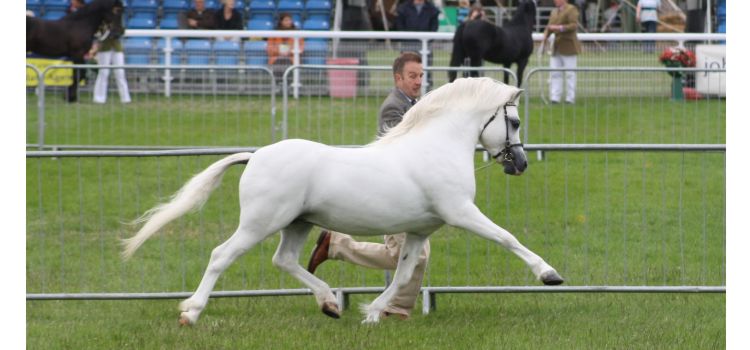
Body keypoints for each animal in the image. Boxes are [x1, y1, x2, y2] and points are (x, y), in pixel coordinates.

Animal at [122, 77, 564, 326]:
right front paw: (550, 275)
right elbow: (507, 238)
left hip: (298, 223)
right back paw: (191, 312)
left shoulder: (420, 231)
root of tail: (255, 155)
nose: (520, 163)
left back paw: (330, 304)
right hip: (260, 223)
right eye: (515, 121)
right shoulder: (461, 213)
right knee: (221, 255)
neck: (435, 146)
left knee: (285, 260)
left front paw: (372, 314)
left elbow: (403, 274)